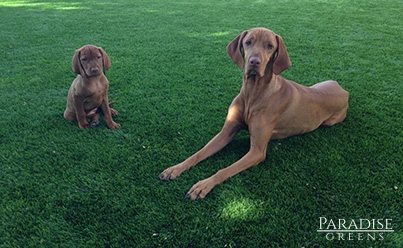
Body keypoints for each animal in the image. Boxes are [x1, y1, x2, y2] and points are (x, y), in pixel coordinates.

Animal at [159, 28, 348, 201]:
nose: (254, 62)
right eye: (248, 42)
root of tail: (343, 90)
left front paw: (203, 185)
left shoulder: (257, 151)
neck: (253, 92)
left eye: (270, 46)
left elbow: (224, 170)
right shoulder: (226, 132)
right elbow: (199, 153)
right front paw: (175, 168)